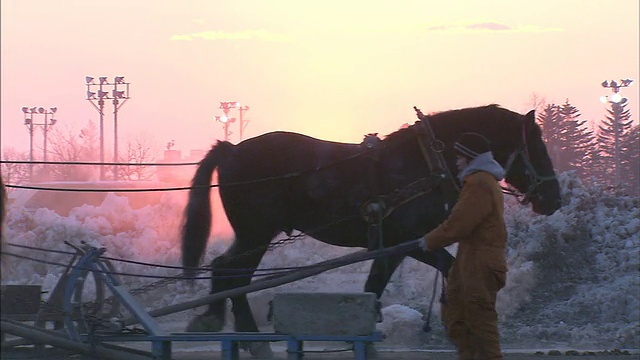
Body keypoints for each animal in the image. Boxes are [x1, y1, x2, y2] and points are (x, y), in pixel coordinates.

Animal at [179, 104, 560, 354]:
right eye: (537, 146)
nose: (554, 198)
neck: (424, 162)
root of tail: (232, 149)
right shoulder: (402, 242)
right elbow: (376, 287)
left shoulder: (407, 243)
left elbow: (433, 272)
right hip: (256, 233)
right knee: (232, 273)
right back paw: (245, 335)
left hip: (252, 234)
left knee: (225, 271)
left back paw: (222, 324)